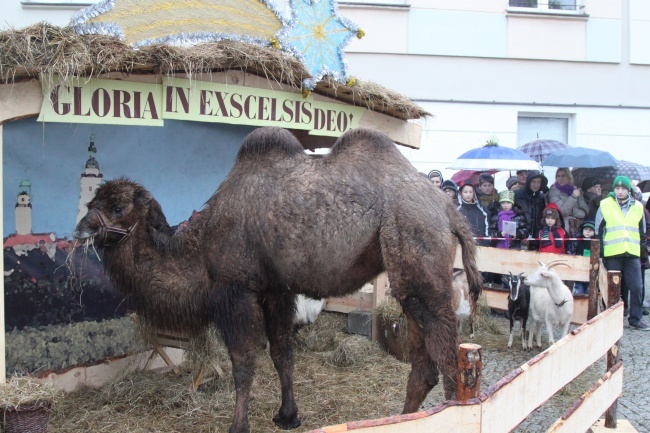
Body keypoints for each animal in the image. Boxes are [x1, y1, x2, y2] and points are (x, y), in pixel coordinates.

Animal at [74, 125, 480, 432]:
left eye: (117, 207)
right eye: (92, 202)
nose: (81, 229)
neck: (200, 248)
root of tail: (449, 211)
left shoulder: (235, 288)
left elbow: (243, 362)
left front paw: (238, 425)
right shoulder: (275, 289)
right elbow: (282, 352)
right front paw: (288, 416)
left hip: (417, 260)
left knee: (449, 361)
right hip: (412, 280)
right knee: (424, 364)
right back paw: (403, 419)